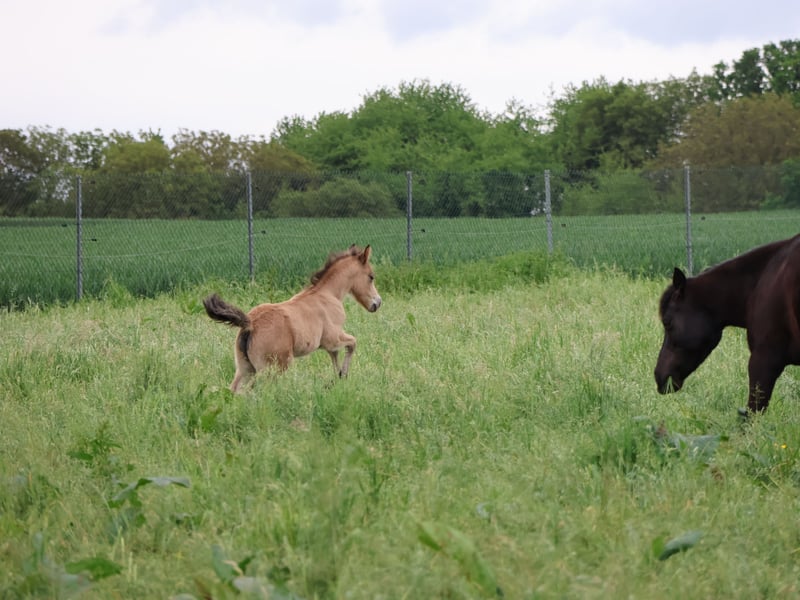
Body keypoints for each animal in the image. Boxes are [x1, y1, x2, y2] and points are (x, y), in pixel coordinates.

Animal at [204, 245, 382, 392]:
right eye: (371, 276)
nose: (377, 302)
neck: (327, 294)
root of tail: (250, 324)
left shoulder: (328, 345)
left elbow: (335, 355)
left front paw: (336, 378)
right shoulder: (333, 338)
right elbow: (352, 343)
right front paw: (342, 374)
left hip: (245, 368)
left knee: (234, 390)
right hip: (272, 369)